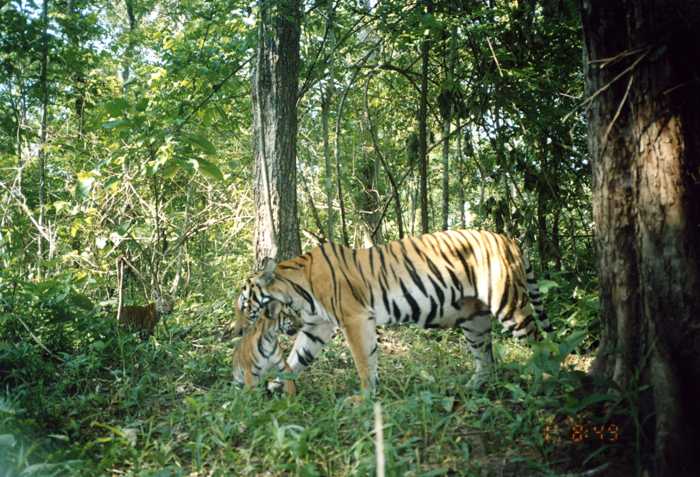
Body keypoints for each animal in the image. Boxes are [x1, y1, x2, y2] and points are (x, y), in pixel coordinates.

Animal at [238, 229, 548, 392]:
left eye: (243, 305)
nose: (238, 330)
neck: (297, 293)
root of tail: (508, 238)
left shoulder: (355, 318)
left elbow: (364, 361)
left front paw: (364, 399)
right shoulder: (317, 326)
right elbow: (297, 356)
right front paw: (278, 385)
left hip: (508, 303)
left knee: (540, 343)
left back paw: (546, 383)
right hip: (475, 319)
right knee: (487, 359)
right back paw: (471, 387)